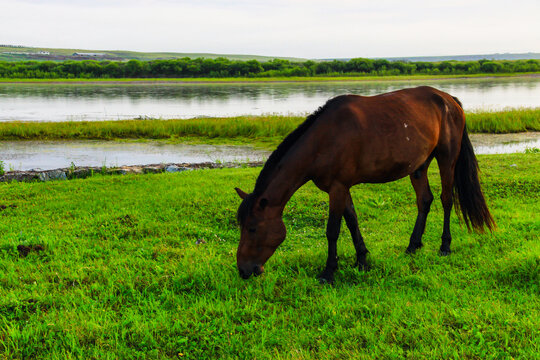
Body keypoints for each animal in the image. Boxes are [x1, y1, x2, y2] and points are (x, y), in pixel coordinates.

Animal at [234, 86, 496, 282]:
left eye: (252, 228)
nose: (243, 270)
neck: (324, 140)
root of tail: (449, 100)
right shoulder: (341, 188)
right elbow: (352, 221)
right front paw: (362, 261)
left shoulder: (337, 188)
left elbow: (332, 230)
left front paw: (329, 272)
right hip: (419, 165)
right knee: (425, 201)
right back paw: (413, 246)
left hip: (446, 158)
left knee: (446, 200)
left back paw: (445, 246)